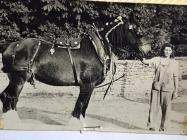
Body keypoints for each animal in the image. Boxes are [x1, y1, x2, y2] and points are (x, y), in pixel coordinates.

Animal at [0, 17, 144, 118]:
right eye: (138, 32)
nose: (145, 51)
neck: (96, 48)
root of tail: (11, 45)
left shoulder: (90, 86)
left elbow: (84, 107)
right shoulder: (87, 84)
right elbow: (80, 106)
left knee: (12, 98)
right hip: (18, 79)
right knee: (8, 97)